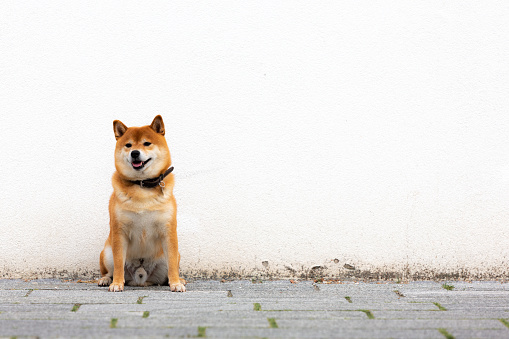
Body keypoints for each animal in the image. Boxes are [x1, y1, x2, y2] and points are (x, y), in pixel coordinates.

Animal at [97, 116, 185, 292]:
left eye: (146, 143)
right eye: (128, 145)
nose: (135, 153)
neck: (142, 185)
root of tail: (140, 278)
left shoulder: (168, 231)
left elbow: (173, 264)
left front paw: (176, 283)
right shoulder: (119, 231)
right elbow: (118, 263)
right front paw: (117, 283)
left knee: (168, 271)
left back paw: (178, 280)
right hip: (106, 252)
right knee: (109, 270)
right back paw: (106, 279)